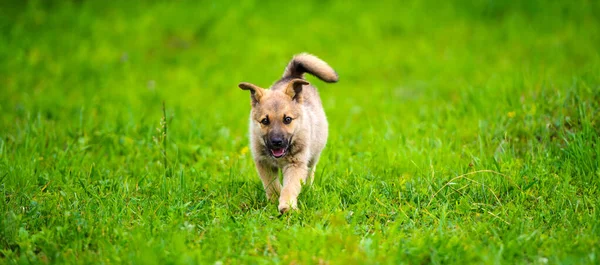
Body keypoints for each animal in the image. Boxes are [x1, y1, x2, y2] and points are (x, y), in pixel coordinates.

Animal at [238, 53, 338, 212]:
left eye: (287, 119)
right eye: (265, 121)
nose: (277, 142)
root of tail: (292, 75)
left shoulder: (296, 164)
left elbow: (290, 187)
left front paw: (287, 206)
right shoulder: (263, 163)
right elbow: (272, 185)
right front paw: (274, 201)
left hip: (314, 155)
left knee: (310, 173)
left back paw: (307, 189)